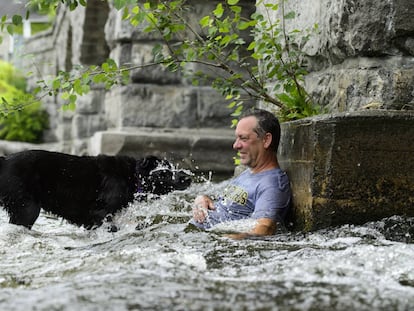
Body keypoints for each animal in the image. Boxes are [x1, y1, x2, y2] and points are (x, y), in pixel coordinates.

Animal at [0, 150, 192, 230]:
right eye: (164, 173)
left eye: (173, 167)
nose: (188, 178)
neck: (132, 176)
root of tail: (4, 160)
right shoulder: (99, 213)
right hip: (27, 209)